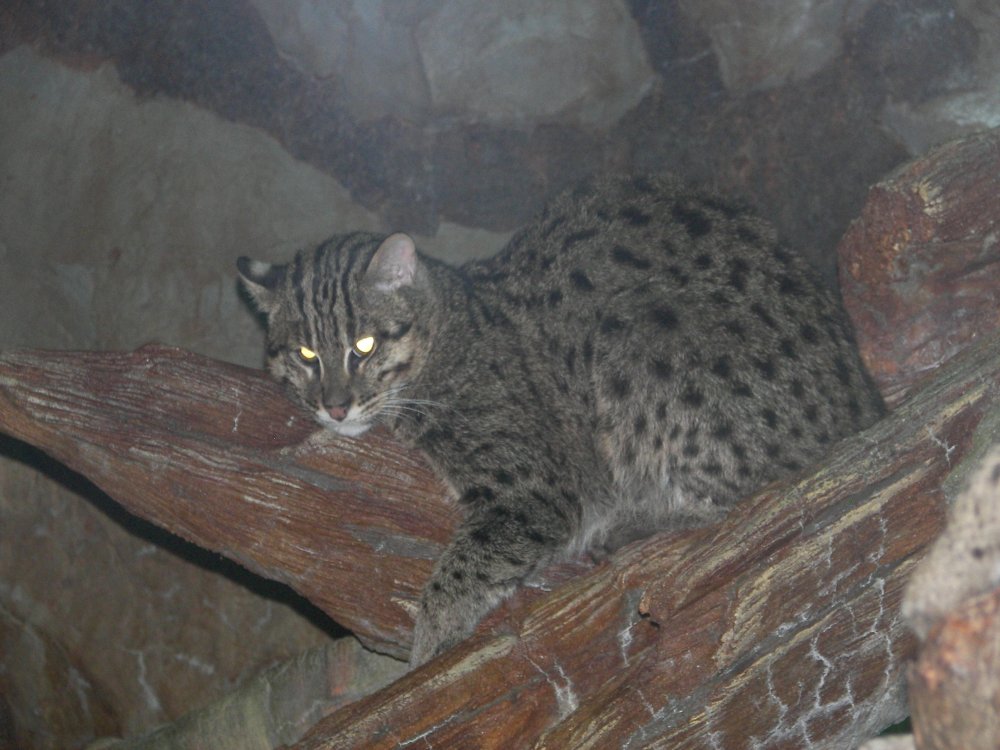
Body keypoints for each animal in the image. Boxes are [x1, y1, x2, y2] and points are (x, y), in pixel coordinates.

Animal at [236, 173, 884, 668]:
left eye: (364, 346)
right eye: (307, 354)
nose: (335, 407)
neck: (450, 326)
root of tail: (866, 401)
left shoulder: (535, 489)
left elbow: (463, 569)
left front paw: (427, 645)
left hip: (642, 338)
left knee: (748, 491)